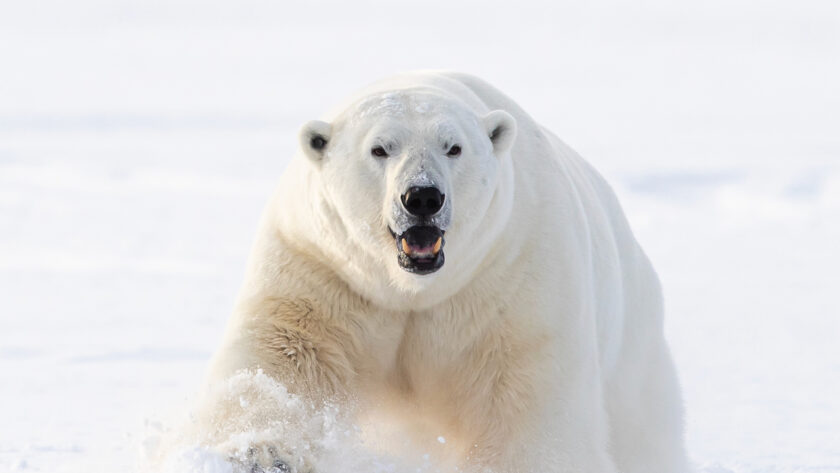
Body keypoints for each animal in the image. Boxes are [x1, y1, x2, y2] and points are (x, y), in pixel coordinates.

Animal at [184, 71, 688, 472]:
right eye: (380, 149)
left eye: (454, 147)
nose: (422, 197)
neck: (412, 289)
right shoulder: (320, 269)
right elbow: (281, 361)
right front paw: (258, 454)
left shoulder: (514, 275)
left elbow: (526, 399)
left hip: (634, 364)